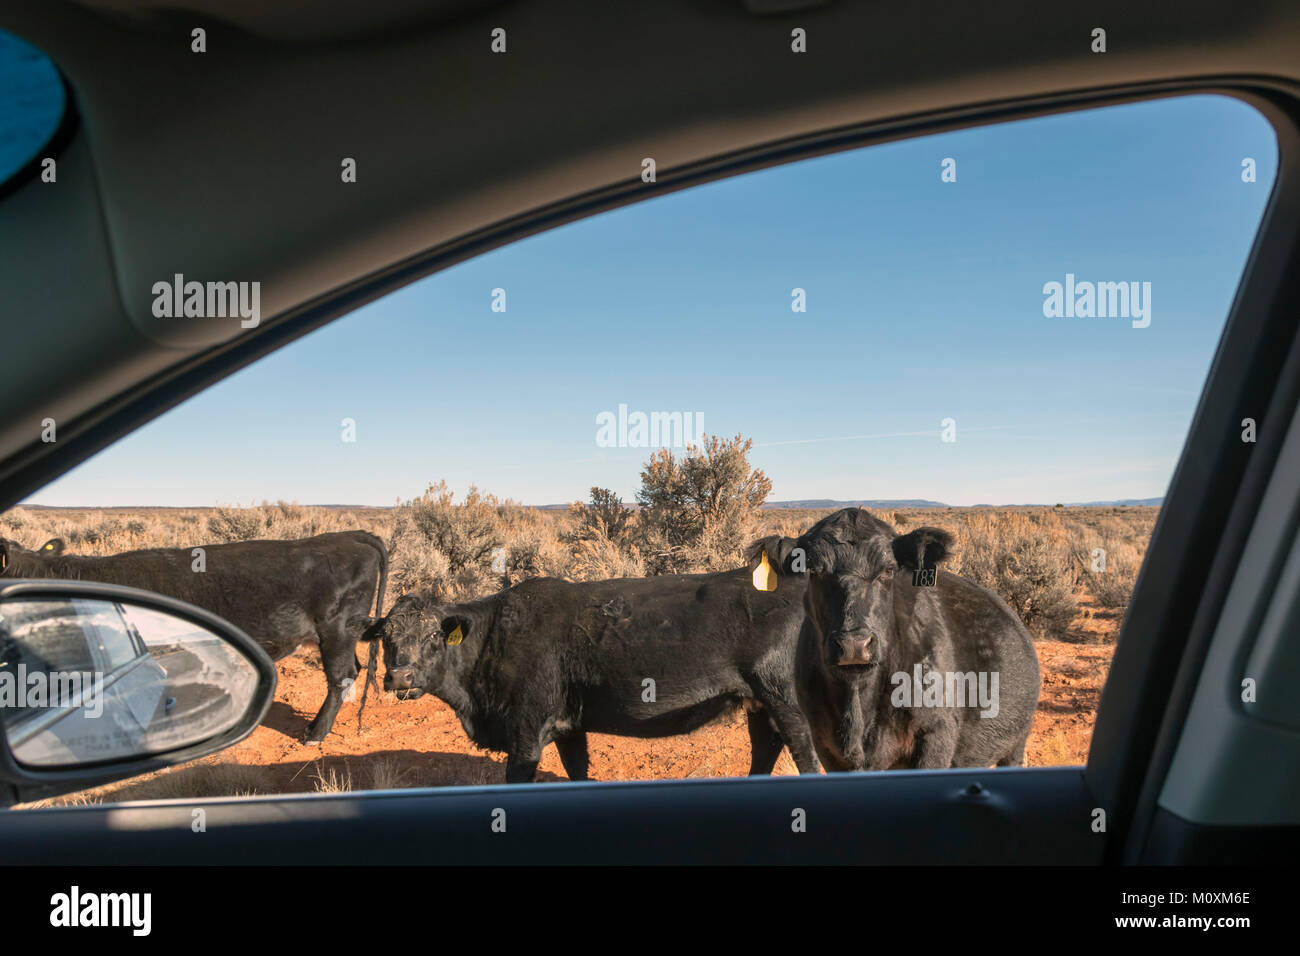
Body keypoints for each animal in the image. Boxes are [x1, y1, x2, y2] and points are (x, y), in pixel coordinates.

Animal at [356, 567, 821, 785]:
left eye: (434, 634)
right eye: (387, 638)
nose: (400, 675)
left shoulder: (525, 733)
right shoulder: (569, 728)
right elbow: (576, 772)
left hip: (789, 704)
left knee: (807, 760)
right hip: (760, 705)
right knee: (765, 752)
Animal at [754, 509, 1034, 770]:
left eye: (888, 569)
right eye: (814, 569)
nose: (854, 645)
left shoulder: (937, 735)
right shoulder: (824, 743)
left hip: (1016, 744)